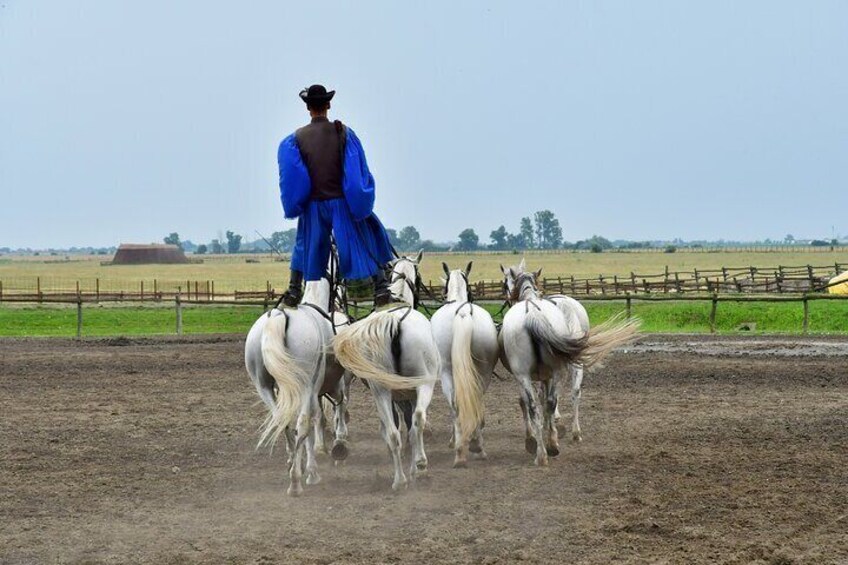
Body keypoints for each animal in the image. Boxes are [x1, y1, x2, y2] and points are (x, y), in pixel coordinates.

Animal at [245, 276, 352, 494]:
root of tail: (280, 316)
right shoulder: (329, 389)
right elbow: (330, 415)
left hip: (265, 388)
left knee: (283, 421)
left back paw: (294, 466)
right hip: (306, 388)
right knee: (303, 423)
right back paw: (296, 481)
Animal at [332, 251, 438, 490]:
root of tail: (395, 324)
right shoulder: (407, 394)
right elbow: (409, 424)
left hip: (380, 390)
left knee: (392, 432)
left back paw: (399, 480)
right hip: (422, 384)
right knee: (417, 420)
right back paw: (419, 467)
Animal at [434, 262, 500, 464]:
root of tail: (462, 313)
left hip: (447, 371)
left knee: (457, 404)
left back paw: (464, 450)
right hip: (484, 370)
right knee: (475, 398)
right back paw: (473, 446)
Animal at [500, 260, 640, 462]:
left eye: (505, 284)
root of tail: (533, 314)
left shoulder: (534, 376)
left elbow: (531, 400)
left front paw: (536, 433)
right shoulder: (540, 375)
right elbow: (543, 400)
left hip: (536, 373)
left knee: (541, 402)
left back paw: (547, 446)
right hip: (562, 367)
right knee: (570, 393)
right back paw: (565, 438)